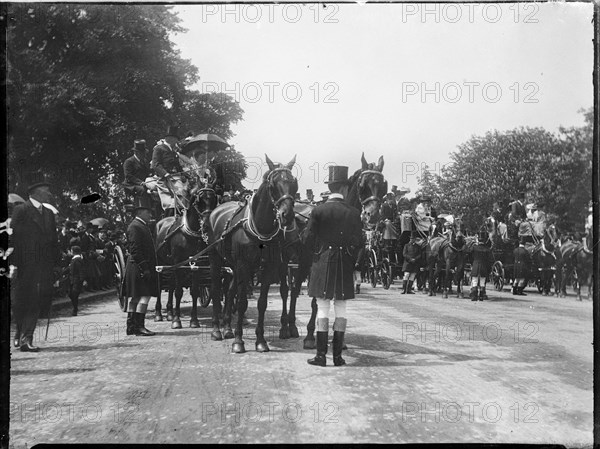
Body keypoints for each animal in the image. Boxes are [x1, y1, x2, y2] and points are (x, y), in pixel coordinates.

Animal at [155, 182, 220, 328]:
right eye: (198, 201)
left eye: (214, 200)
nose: (207, 225)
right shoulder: (178, 262)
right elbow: (178, 292)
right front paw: (177, 320)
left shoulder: (196, 264)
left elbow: (194, 291)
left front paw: (194, 320)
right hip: (160, 262)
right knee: (160, 284)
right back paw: (158, 313)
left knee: (171, 285)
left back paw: (169, 312)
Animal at [209, 156, 298, 352]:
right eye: (272, 185)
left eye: (294, 183)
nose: (287, 215)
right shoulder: (244, 265)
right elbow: (242, 302)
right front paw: (238, 341)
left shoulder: (267, 267)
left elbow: (262, 303)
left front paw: (260, 340)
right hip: (216, 260)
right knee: (217, 290)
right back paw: (216, 330)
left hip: (235, 266)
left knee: (230, 291)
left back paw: (227, 327)